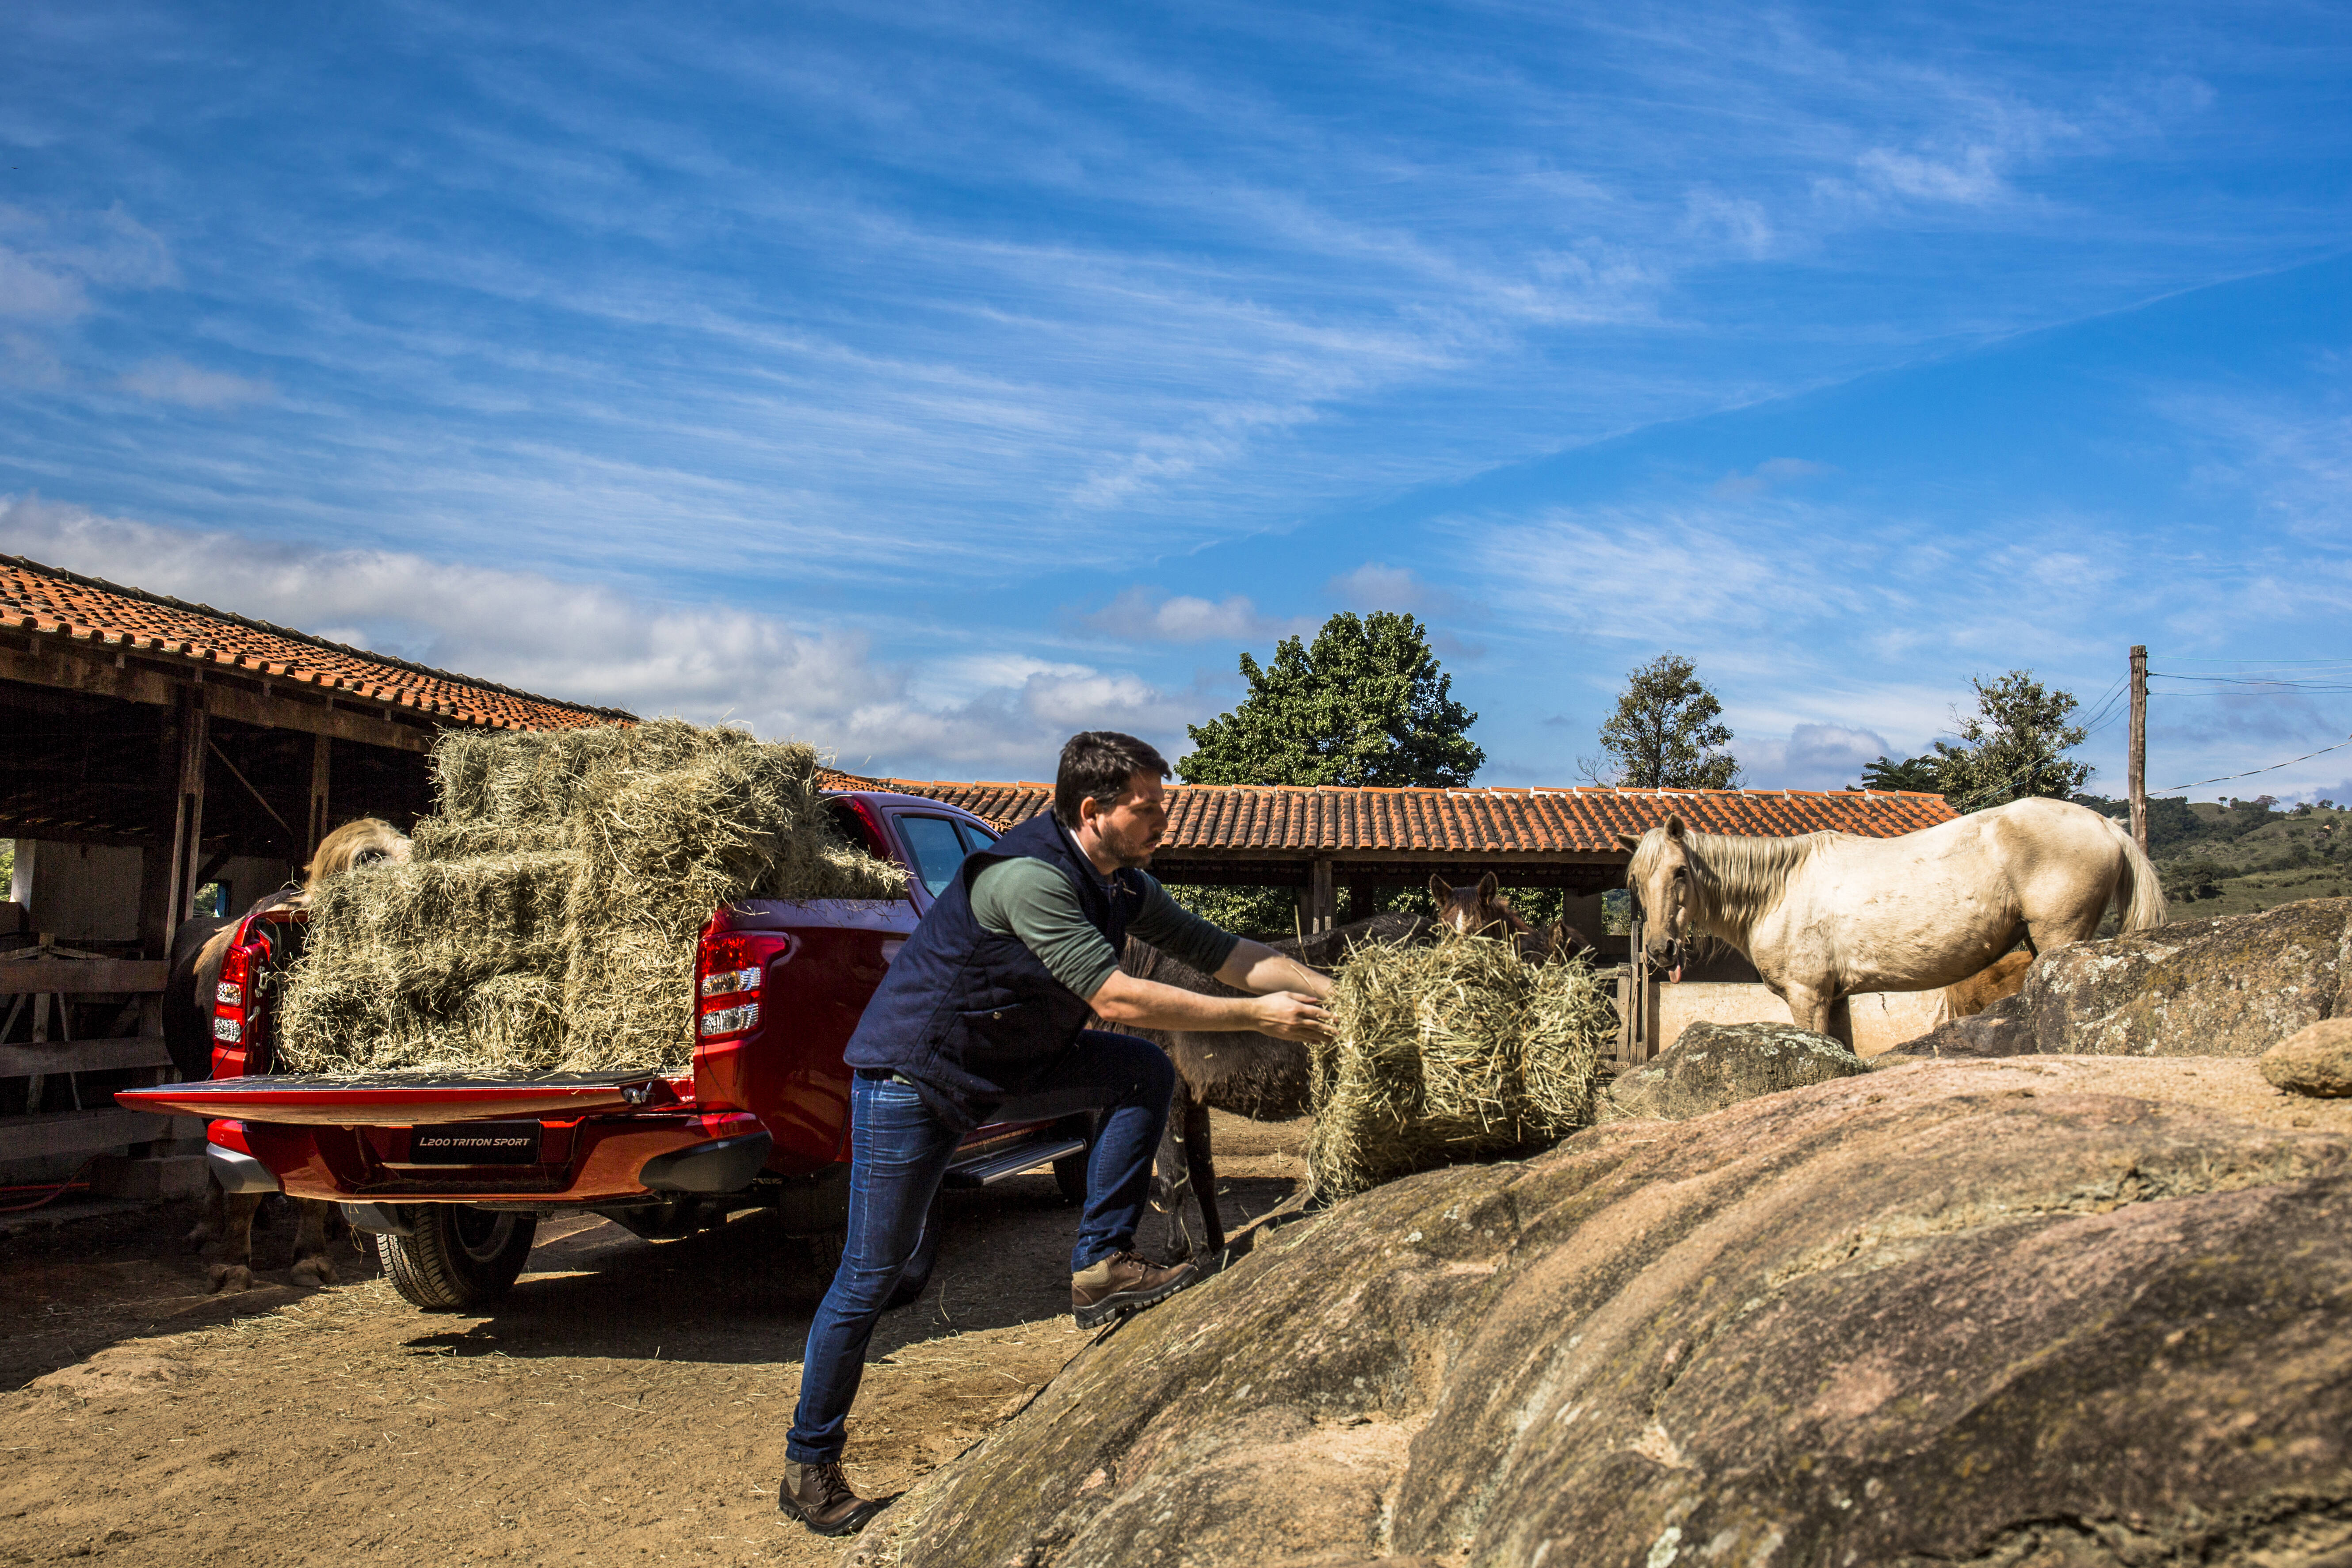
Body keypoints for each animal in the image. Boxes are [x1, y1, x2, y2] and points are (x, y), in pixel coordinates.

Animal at [1627, 799, 2154, 1044]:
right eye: (1636, 879)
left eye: (1680, 871)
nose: (1660, 950)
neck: (1780, 890)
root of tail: (2107, 825)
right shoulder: (1836, 997)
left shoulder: (1808, 995)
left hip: (2059, 937)